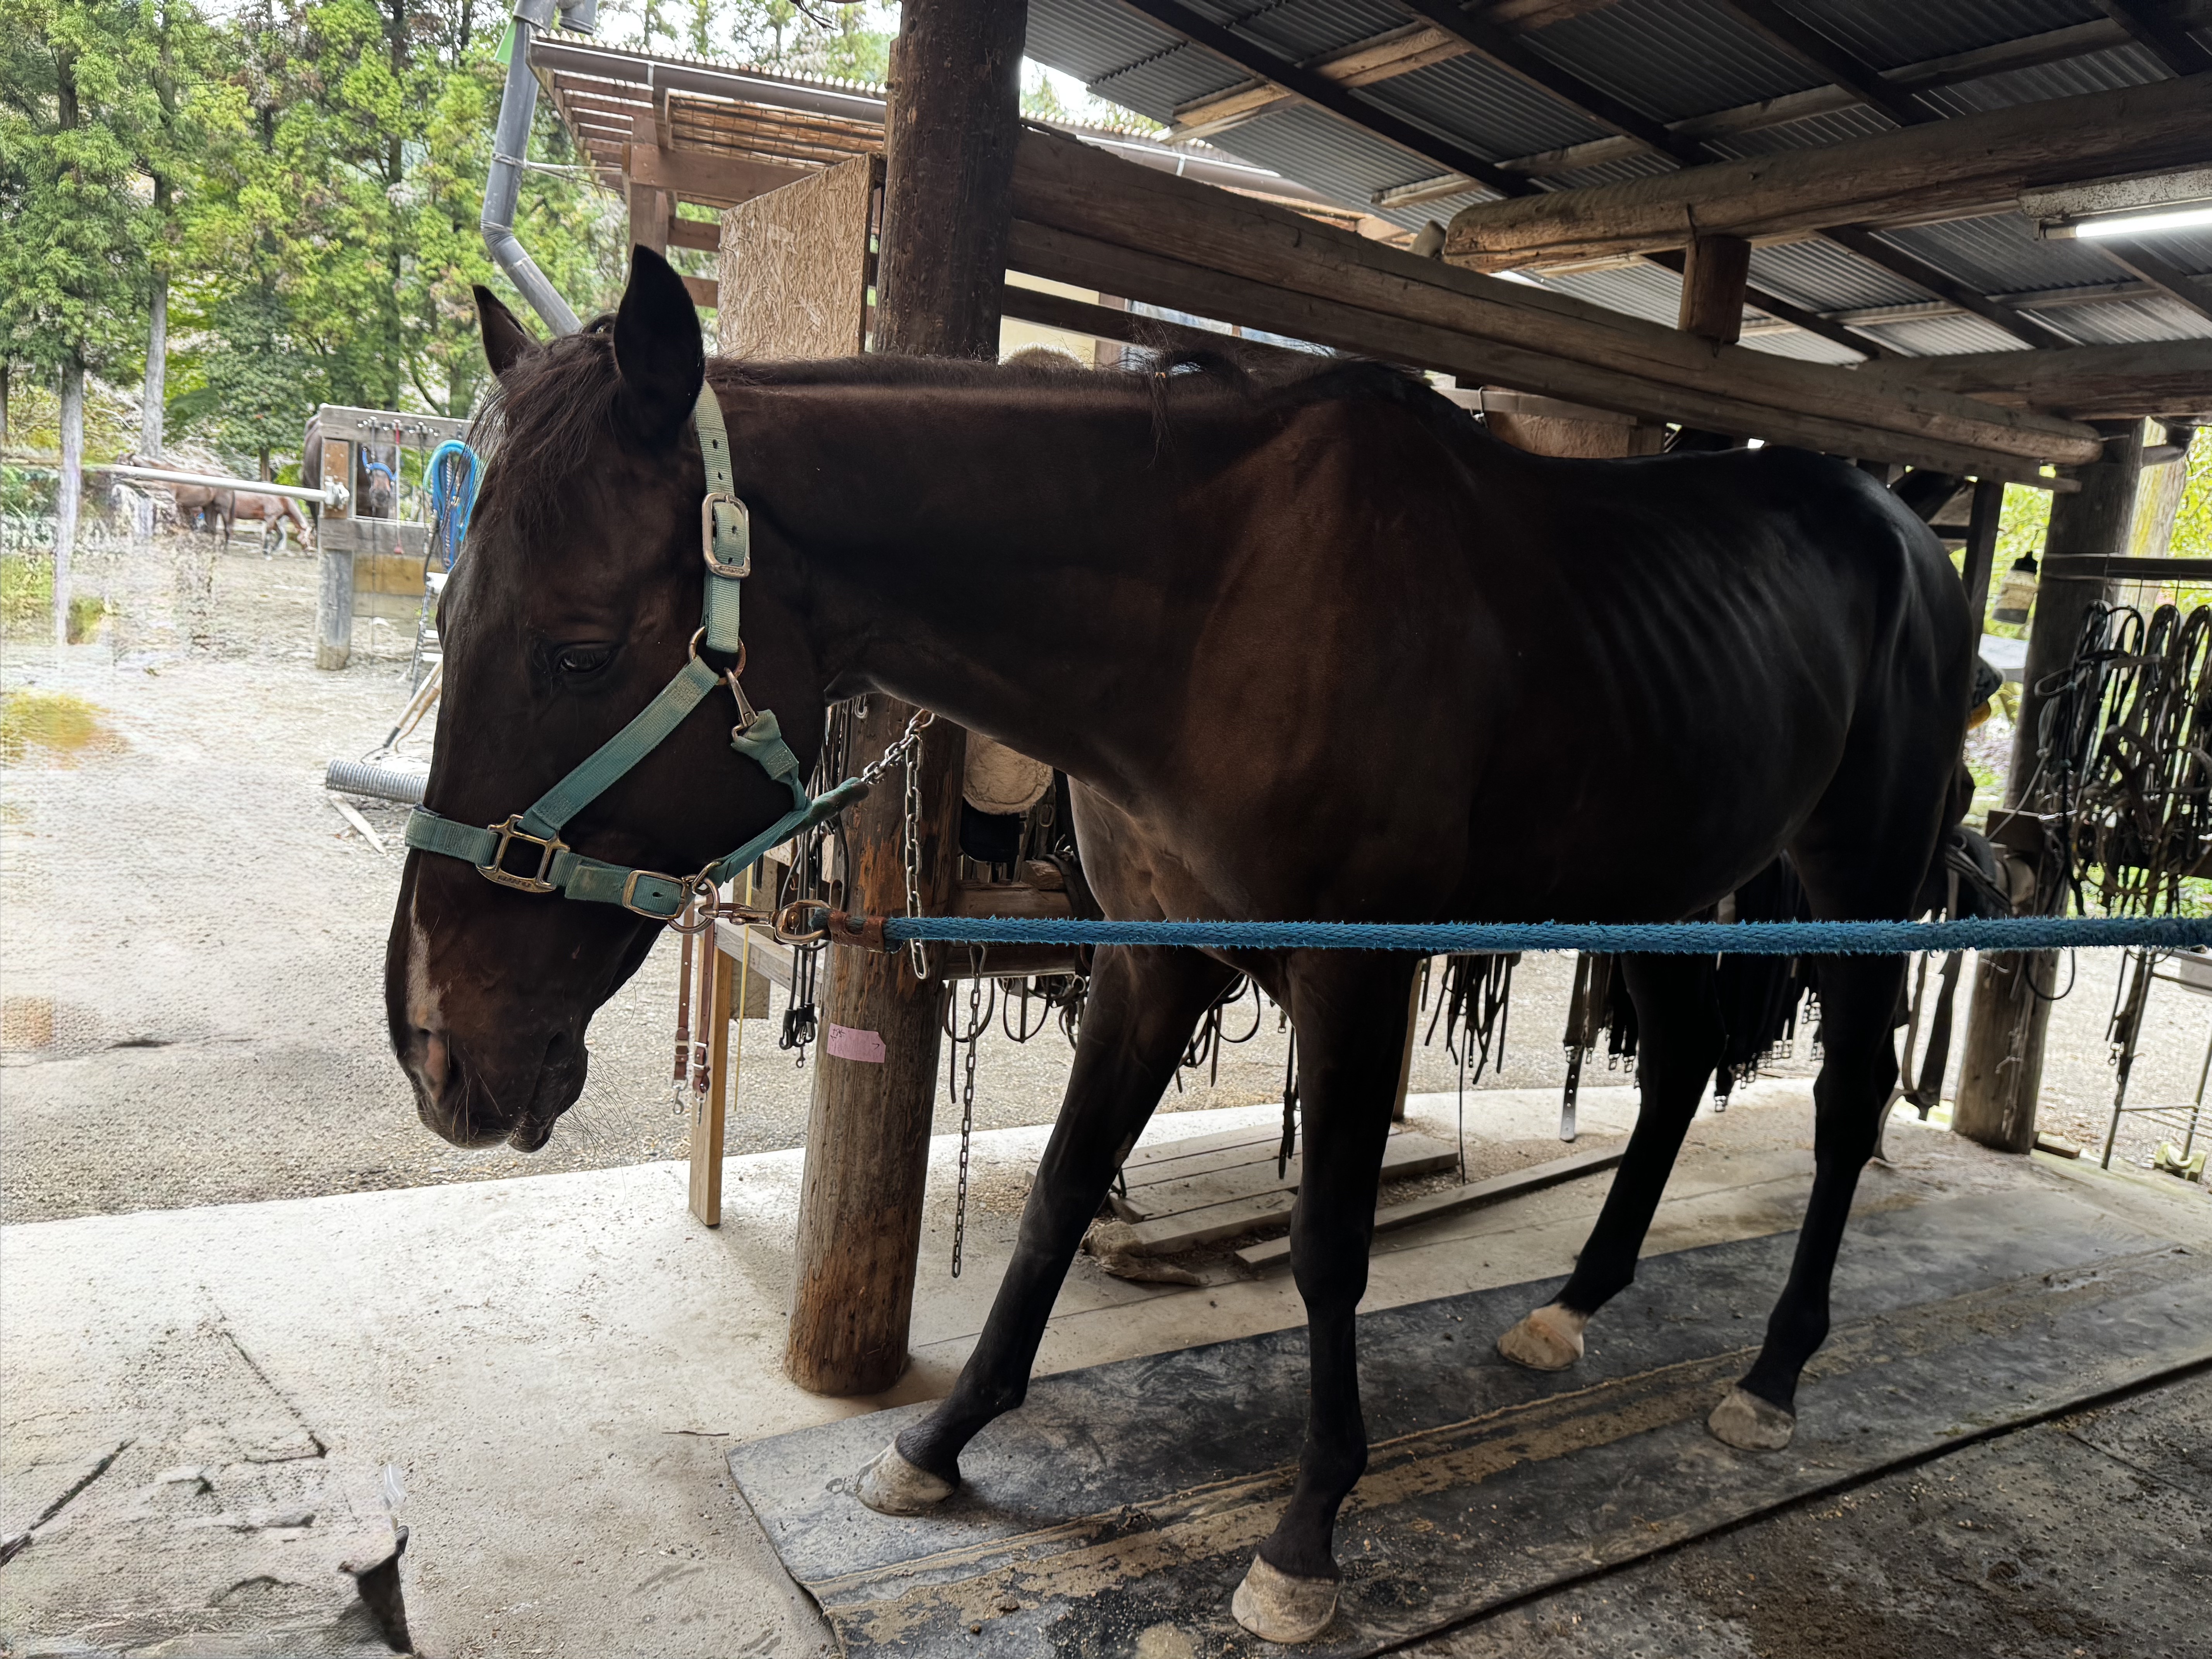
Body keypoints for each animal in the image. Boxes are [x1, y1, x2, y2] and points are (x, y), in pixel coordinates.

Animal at [386, 249, 1971, 1643]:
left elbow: (1329, 1243)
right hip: (1661, 879)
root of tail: (1903, 523)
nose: (436, 1048)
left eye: (579, 650)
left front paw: (1305, 1536)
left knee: (1844, 1101)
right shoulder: (1152, 957)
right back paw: (1570, 1310)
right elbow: (1061, 1194)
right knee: (1681, 1065)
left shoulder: (1349, 977)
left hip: (1857, 879)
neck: (1218, 612)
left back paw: (1773, 1372)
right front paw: (940, 1442)